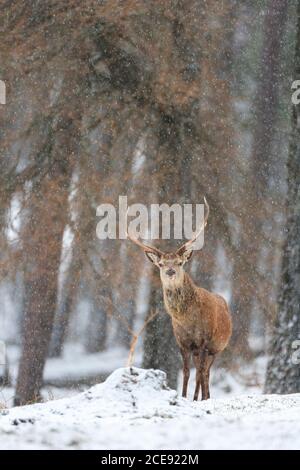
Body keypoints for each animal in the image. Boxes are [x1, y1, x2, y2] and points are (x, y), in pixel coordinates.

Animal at [126, 198, 232, 400]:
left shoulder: (205, 341)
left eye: (180, 262)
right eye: (161, 264)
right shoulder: (183, 343)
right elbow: (186, 372)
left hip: (217, 348)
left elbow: (199, 373)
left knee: (206, 372)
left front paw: (196, 399)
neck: (188, 320)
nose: (170, 271)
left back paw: (205, 397)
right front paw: (183, 396)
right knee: (202, 372)